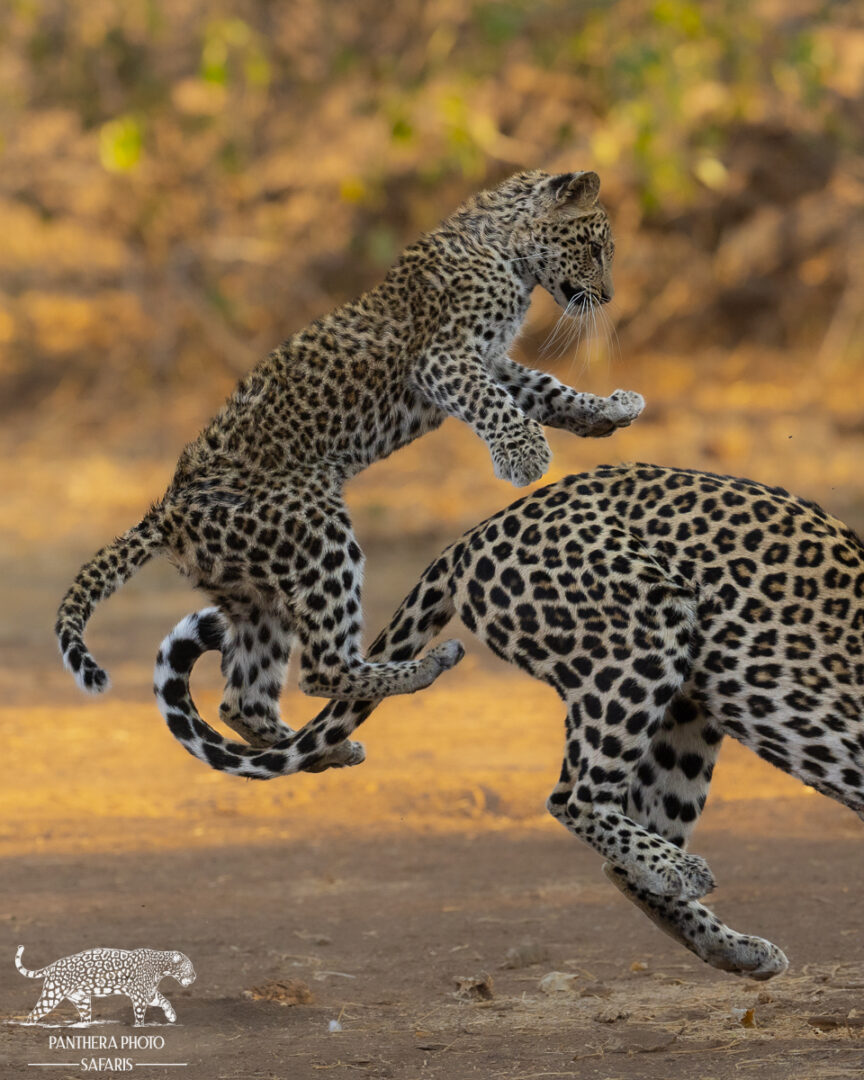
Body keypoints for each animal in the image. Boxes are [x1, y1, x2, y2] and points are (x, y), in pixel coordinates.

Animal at [15, 945, 195, 1026]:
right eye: (189, 967)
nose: (195, 977)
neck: (161, 967)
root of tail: (51, 966)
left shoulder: (149, 993)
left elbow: (165, 1000)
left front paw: (171, 1016)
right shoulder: (139, 997)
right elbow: (139, 1015)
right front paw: (140, 1026)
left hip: (82, 1000)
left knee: (84, 1017)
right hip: (51, 995)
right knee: (34, 1014)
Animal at [55, 168, 644, 746]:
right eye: (594, 249)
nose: (608, 297)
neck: (505, 247)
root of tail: (169, 508)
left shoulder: (491, 359)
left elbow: (545, 389)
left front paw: (606, 411)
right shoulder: (445, 358)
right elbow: (495, 403)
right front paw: (526, 456)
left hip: (255, 594)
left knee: (244, 699)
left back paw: (318, 750)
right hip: (317, 536)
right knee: (321, 668)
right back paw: (423, 668)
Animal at [154, 463, 864, 980]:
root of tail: (487, 525)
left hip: (686, 715)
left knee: (626, 857)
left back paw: (736, 949)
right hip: (647, 631)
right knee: (574, 797)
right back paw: (685, 875)